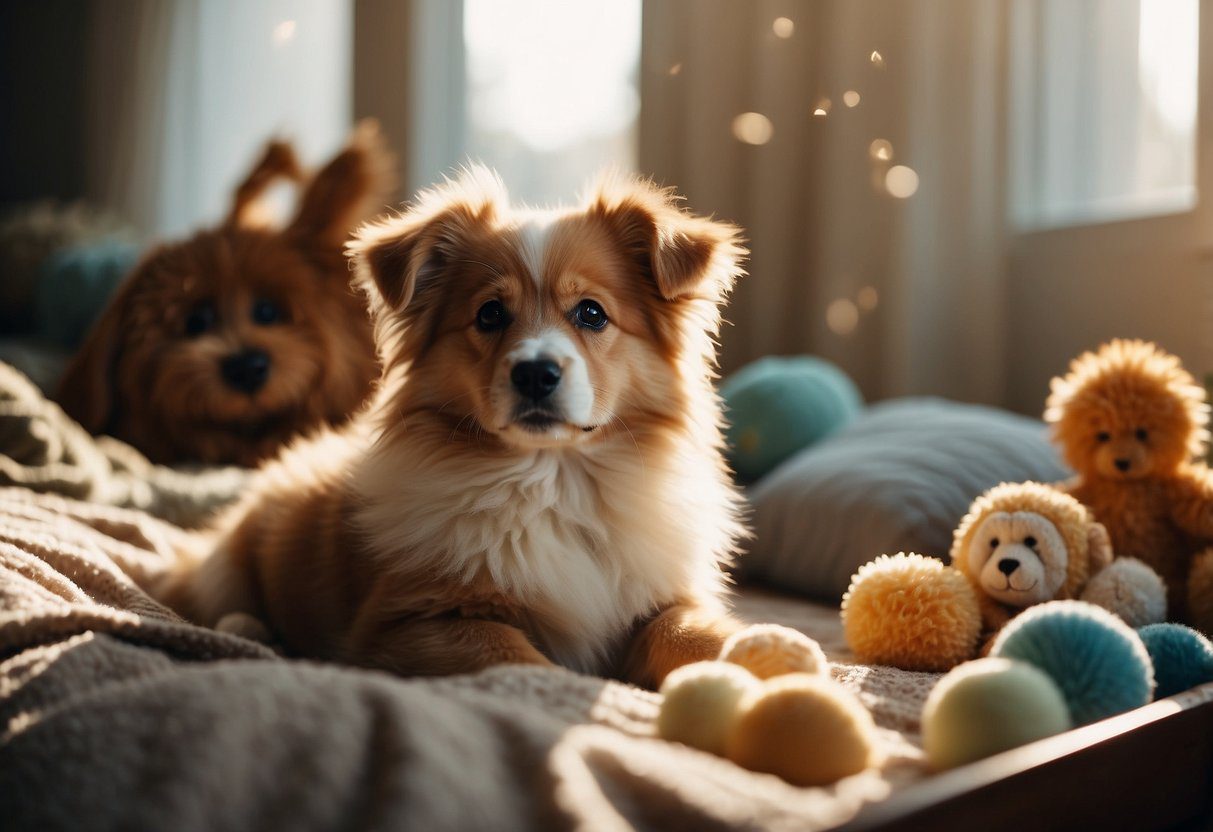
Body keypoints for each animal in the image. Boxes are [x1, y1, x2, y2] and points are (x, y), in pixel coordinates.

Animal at [161, 166, 747, 688]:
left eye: (592, 313)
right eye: (489, 314)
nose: (535, 372)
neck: (553, 481)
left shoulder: (662, 594)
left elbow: (687, 631)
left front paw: (757, 653)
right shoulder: (414, 623)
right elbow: (523, 663)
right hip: (226, 569)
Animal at [1043, 339, 1213, 630]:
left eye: (1142, 433)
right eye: (1103, 436)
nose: (1122, 462)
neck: (1127, 488)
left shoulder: (1171, 490)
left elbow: (1200, 500)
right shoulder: (1090, 491)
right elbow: (1069, 494)